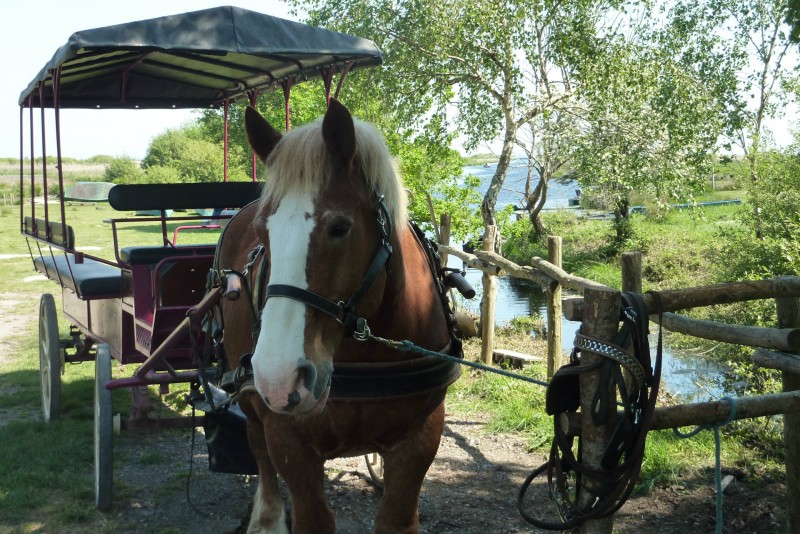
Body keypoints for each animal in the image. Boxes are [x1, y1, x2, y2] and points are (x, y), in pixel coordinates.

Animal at [217, 101, 462, 534]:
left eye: (339, 227)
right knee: (257, 447)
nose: (279, 377)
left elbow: (396, 519)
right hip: (249, 395)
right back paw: (267, 516)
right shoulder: (289, 442)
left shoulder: (420, 439)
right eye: (263, 233)